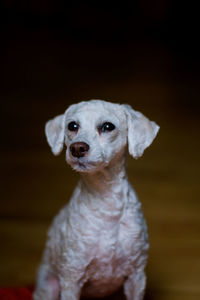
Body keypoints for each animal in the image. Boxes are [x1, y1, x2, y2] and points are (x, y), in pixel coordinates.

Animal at [34, 99, 159, 298]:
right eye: (72, 126)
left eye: (108, 126)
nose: (77, 148)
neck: (106, 204)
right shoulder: (71, 279)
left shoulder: (136, 276)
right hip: (50, 286)